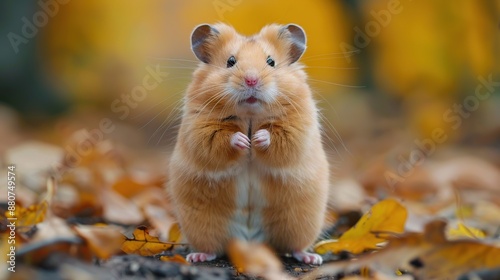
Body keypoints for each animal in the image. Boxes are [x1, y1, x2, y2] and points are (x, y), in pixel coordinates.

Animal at [168, 22, 330, 264]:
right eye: (230, 61)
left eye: (271, 61)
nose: (251, 80)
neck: (251, 113)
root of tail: (250, 240)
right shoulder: (198, 127)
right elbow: (217, 139)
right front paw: (245, 140)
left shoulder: (298, 126)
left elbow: (281, 138)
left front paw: (257, 139)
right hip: (202, 223)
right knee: (213, 248)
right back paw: (197, 256)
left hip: (300, 221)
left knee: (294, 246)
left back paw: (312, 258)